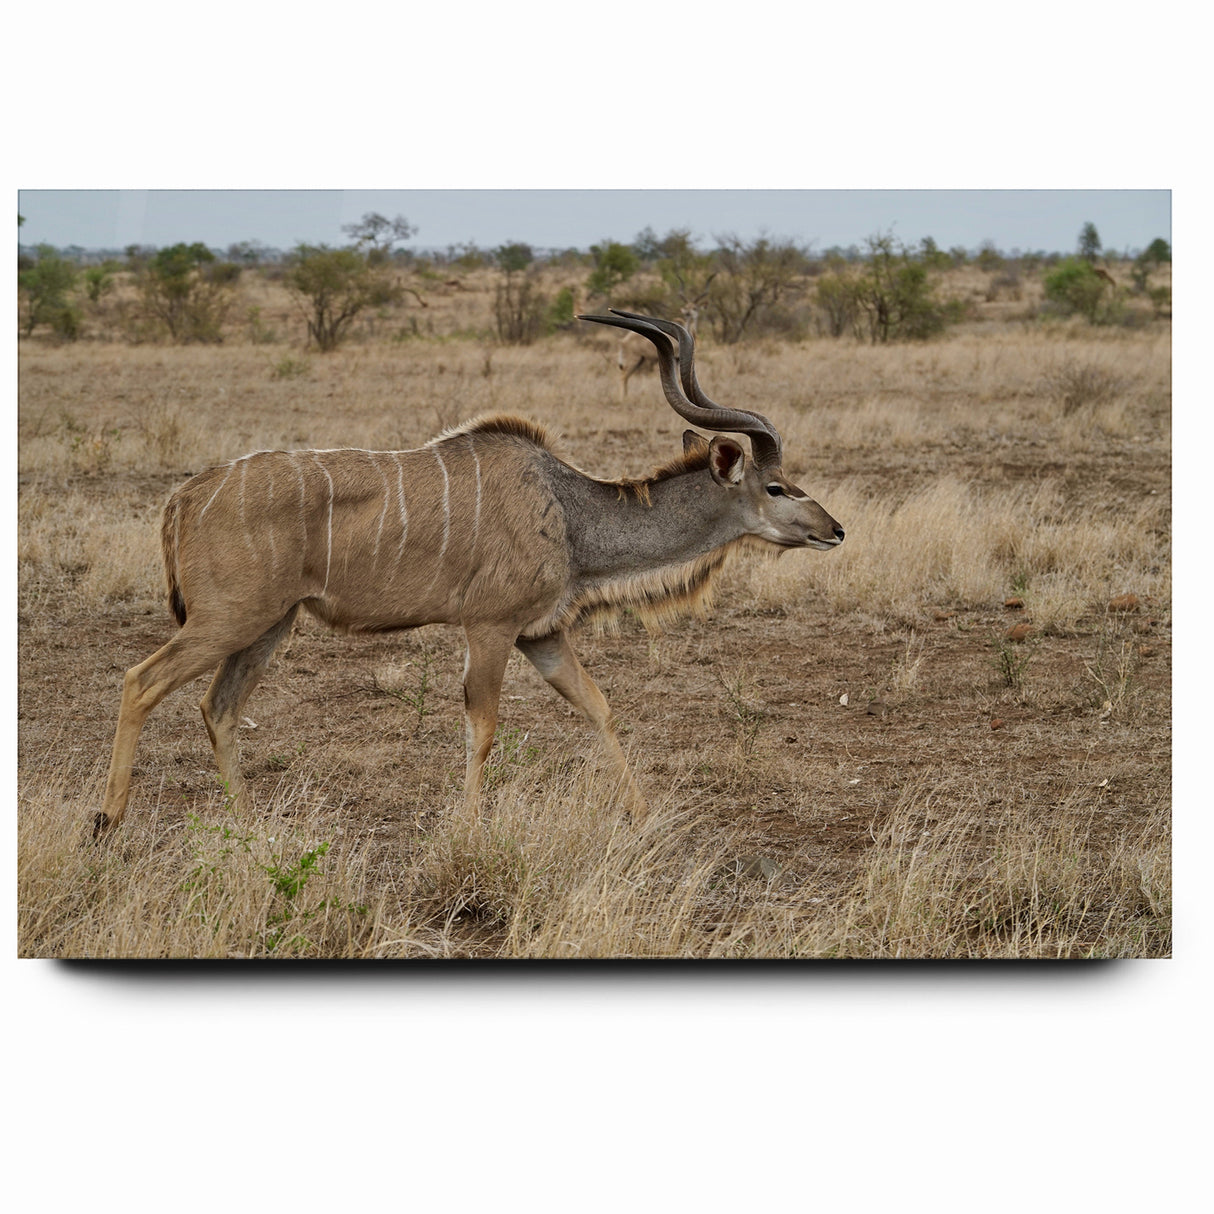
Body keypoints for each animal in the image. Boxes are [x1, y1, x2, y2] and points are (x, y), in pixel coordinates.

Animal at [95, 311, 844, 837]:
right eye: (777, 487)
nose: (834, 530)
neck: (568, 510)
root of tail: (185, 495)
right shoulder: (489, 628)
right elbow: (482, 727)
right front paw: (471, 828)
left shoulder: (540, 634)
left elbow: (597, 705)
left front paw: (642, 813)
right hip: (230, 618)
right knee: (141, 681)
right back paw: (108, 822)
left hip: (270, 624)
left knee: (218, 706)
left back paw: (249, 827)